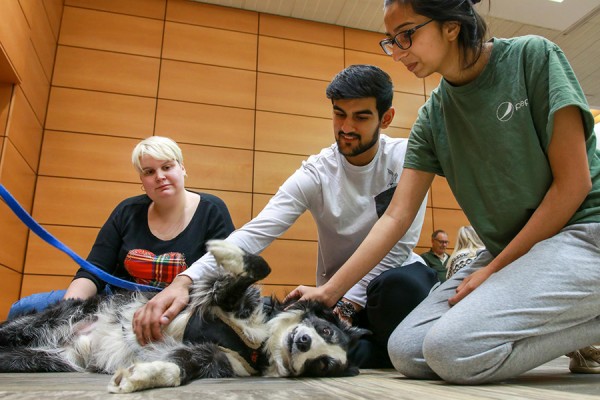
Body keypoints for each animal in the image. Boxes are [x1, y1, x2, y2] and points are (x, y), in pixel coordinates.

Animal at [0, 241, 366, 394]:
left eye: (325, 365)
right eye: (325, 330)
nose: (302, 341)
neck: (260, 346)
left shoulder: (209, 356)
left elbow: (177, 367)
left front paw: (139, 377)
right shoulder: (220, 301)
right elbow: (258, 267)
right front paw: (229, 253)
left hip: (47, 358)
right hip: (42, 323)